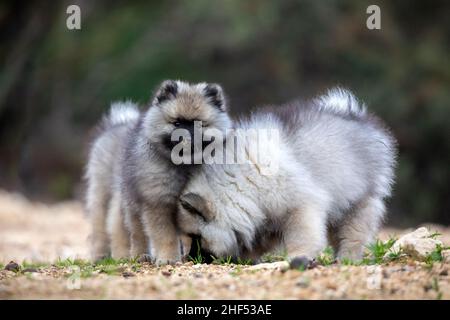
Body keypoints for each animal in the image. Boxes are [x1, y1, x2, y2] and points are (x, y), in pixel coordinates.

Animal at [85, 80, 232, 264]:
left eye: (199, 124)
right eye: (177, 123)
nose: (187, 140)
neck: (184, 166)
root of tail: (117, 125)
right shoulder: (158, 203)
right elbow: (165, 236)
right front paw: (168, 258)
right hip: (110, 200)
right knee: (117, 232)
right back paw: (114, 257)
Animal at [178, 88, 396, 262]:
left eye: (196, 237)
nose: (192, 259)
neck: (241, 184)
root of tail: (356, 117)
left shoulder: (300, 207)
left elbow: (302, 236)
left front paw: (298, 256)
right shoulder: (267, 219)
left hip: (357, 202)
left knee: (352, 235)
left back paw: (347, 258)